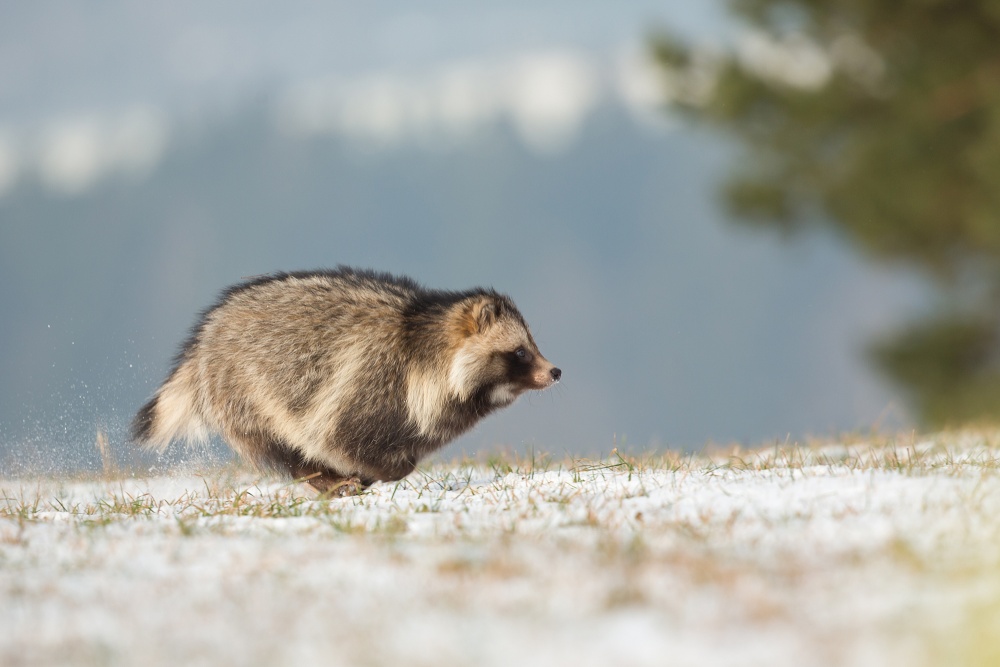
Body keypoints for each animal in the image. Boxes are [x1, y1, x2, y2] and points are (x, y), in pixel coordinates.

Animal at [131, 268, 564, 496]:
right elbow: (341, 437)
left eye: (532, 345)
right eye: (520, 352)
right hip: (243, 391)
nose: (555, 371)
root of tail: (205, 335)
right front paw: (369, 473)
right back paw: (322, 478)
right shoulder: (368, 381)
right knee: (281, 445)